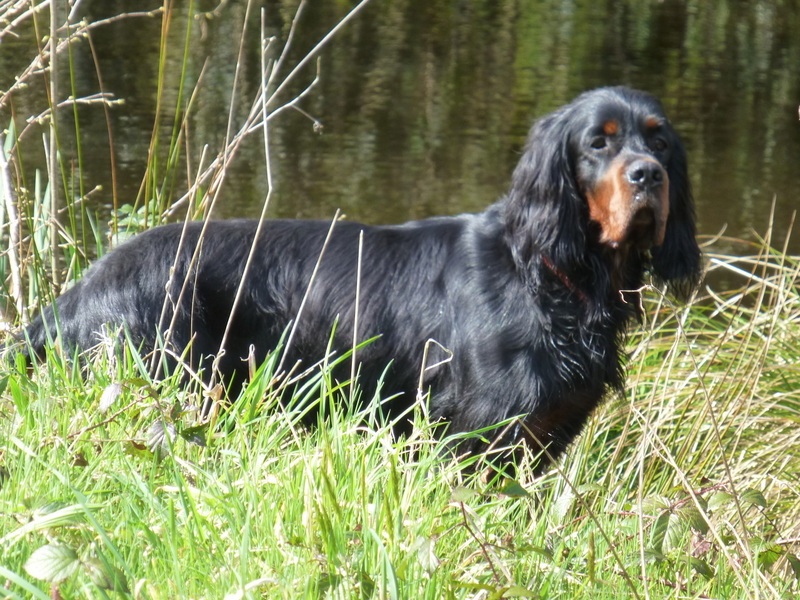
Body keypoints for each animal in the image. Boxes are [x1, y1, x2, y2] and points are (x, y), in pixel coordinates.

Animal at [17, 86, 700, 466]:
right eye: (598, 144)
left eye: (660, 142)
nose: (648, 175)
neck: (551, 276)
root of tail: (79, 293)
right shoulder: (476, 432)